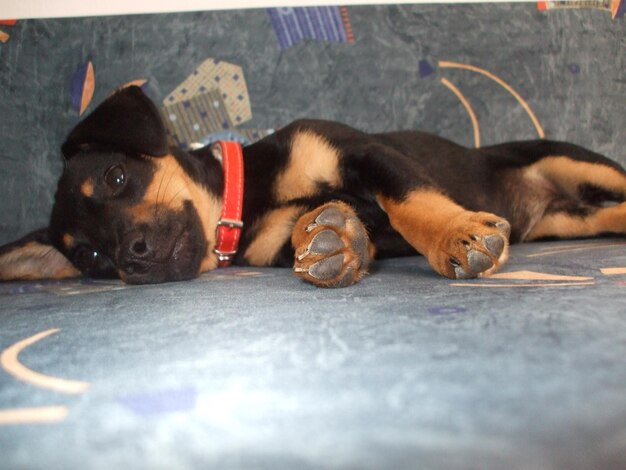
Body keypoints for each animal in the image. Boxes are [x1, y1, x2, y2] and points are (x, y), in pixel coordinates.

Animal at [1, 87, 624, 286]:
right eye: (92, 258)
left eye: (117, 176)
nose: (131, 258)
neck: (251, 200)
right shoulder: (274, 238)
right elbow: (314, 222)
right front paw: (333, 242)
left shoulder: (365, 155)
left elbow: (409, 205)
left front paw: (456, 237)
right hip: (574, 220)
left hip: (579, 164)